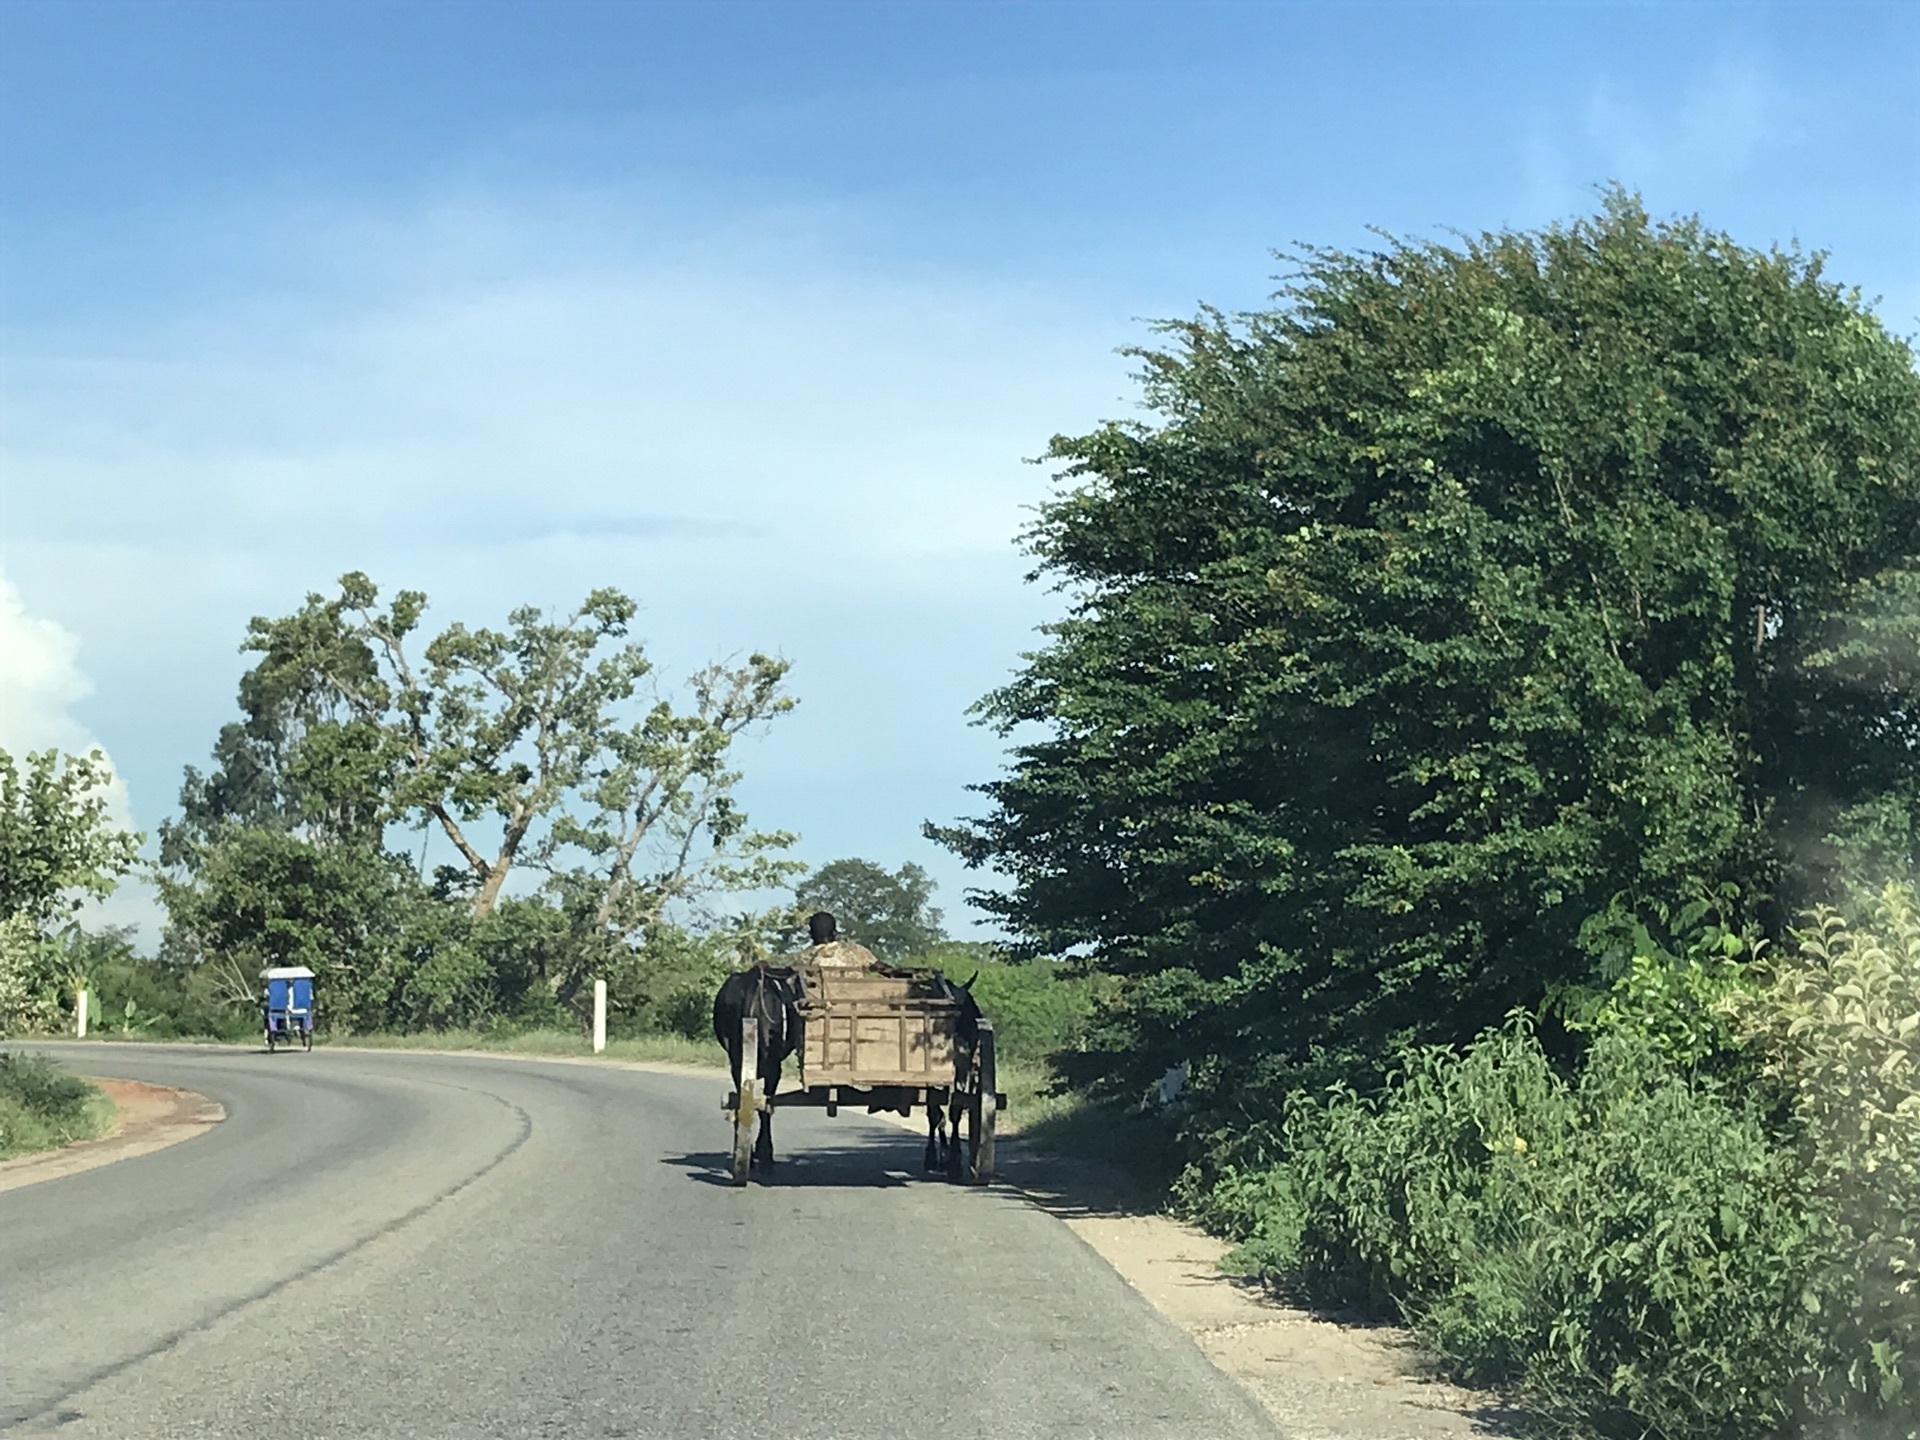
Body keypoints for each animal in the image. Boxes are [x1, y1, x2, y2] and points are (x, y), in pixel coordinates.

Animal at [714, 971, 802, 1175]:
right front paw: (764, 1154)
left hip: (737, 1061)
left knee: (743, 1102)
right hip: (772, 1065)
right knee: (764, 1105)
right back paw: (764, 1157)